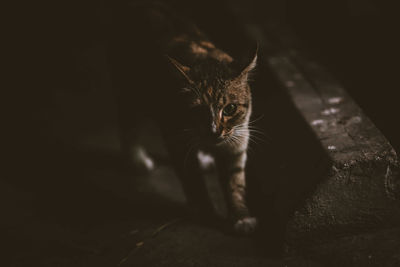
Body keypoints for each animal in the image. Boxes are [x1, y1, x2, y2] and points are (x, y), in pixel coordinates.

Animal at [109, 1, 258, 233]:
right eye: (197, 111)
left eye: (230, 109)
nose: (214, 132)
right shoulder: (176, 138)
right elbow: (194, 181)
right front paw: (207, 213)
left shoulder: (237, 140)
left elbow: (235, 182)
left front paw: (241, 217)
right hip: (130, 87)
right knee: (129, 123)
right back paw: (137, 159)